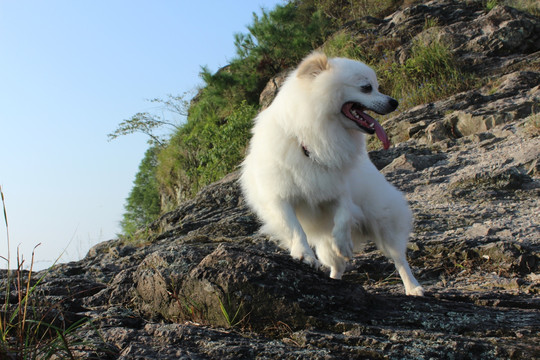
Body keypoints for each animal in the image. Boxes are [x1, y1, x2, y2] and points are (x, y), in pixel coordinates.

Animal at [242, 52, 426, 296]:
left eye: (377, 87)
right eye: (367, 88)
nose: (393, 102)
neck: (313, 141)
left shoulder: (340, 190)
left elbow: (344, 215)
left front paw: (344, 243)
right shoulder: (279, 197)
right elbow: (295, 228)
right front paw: (304, 254)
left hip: (384, 224)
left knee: (399, 259)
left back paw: (413, 288)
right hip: (327, 246)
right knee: (337, 266)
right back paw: (334, 282)